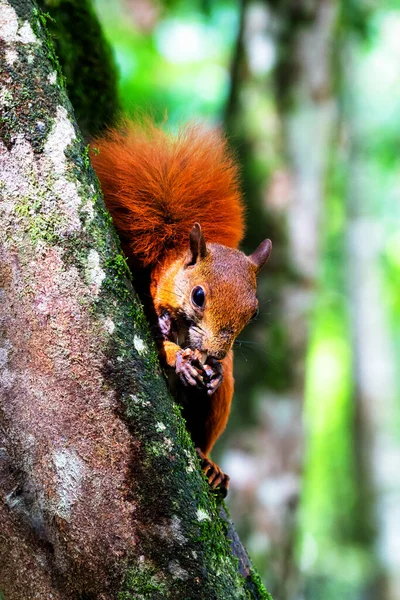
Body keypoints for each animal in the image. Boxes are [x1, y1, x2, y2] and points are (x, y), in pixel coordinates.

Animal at [90, 119, 272, 494]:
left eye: (255, 312)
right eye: (198, 296)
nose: (216, 354)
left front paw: (214, 371)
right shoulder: (147, 305)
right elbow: (155, 342)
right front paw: (180, 359)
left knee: (204, 439)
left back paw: (210, 464)